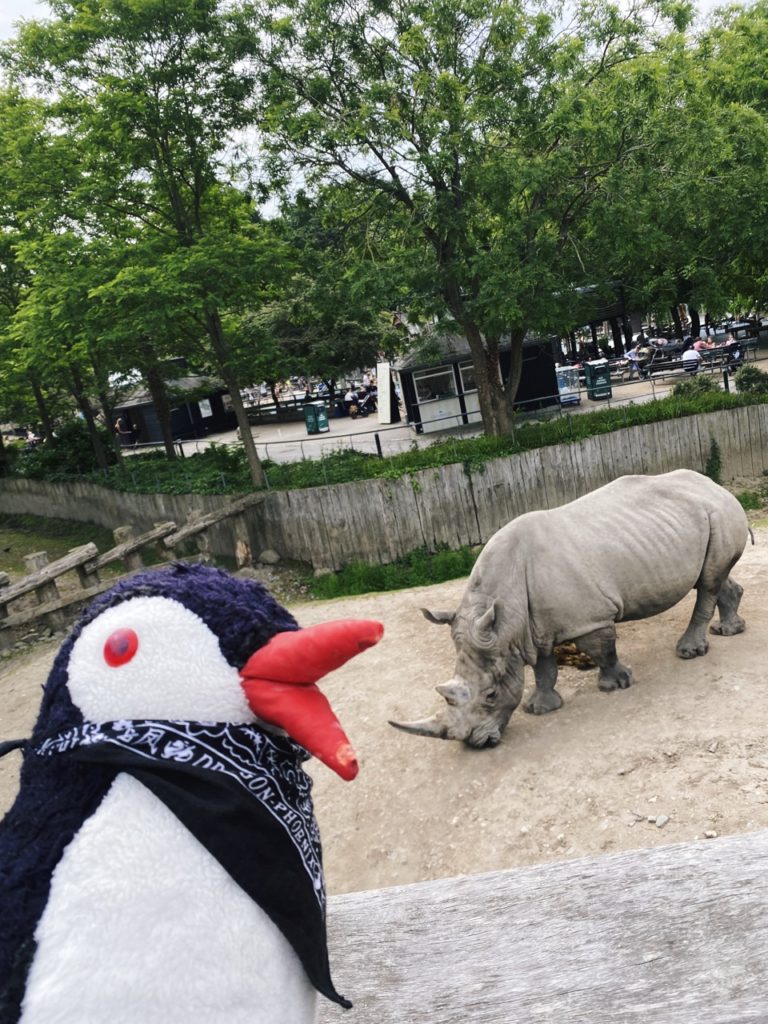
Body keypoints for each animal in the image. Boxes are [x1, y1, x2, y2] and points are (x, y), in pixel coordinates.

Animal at [390, 469, 749, 749]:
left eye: (491, 694)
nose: (478, 744)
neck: (505, 615)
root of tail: (717, 486)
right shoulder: (532, 627)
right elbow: (543, 667)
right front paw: (540, 709)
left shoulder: (589, 618)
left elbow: (601, 650)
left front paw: (615, 685)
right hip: (703, 518)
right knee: (713, 577)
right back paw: (729, 631)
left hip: (719, 513)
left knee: (707, 582)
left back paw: (689, 652)